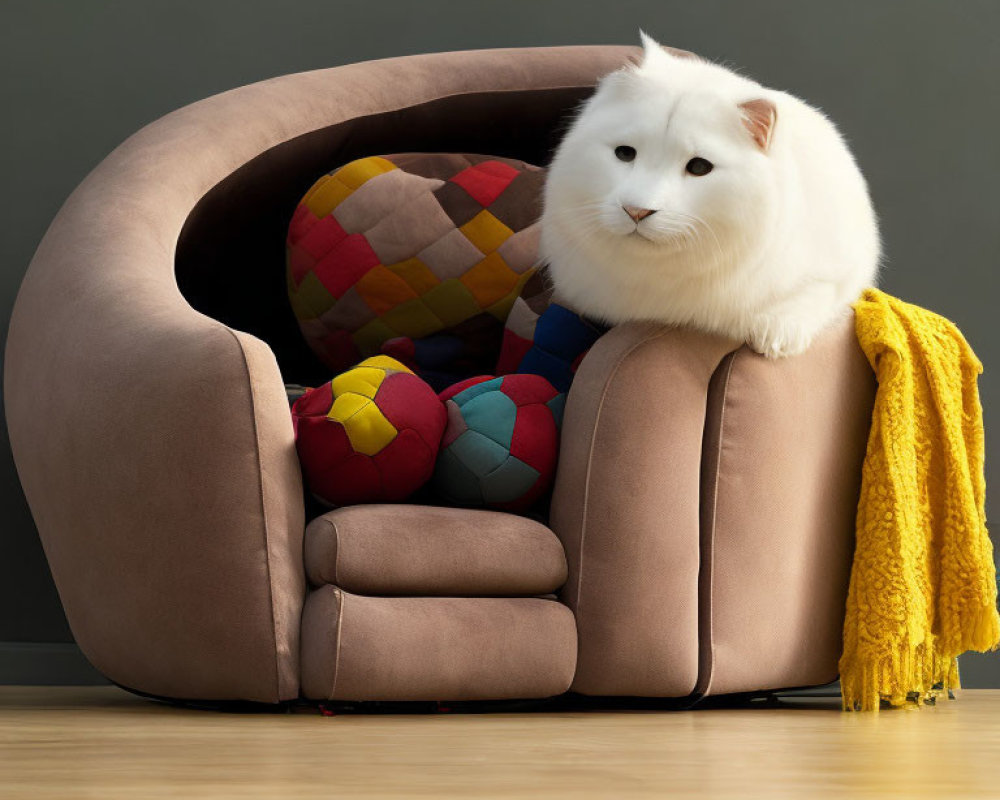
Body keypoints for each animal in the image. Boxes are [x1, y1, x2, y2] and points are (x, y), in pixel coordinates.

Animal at [540, 31, 884, 356]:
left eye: (699, 167)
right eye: (625, 154)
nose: (636, 211)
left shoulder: (842, 270)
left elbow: (811, 296)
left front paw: (774, 337)